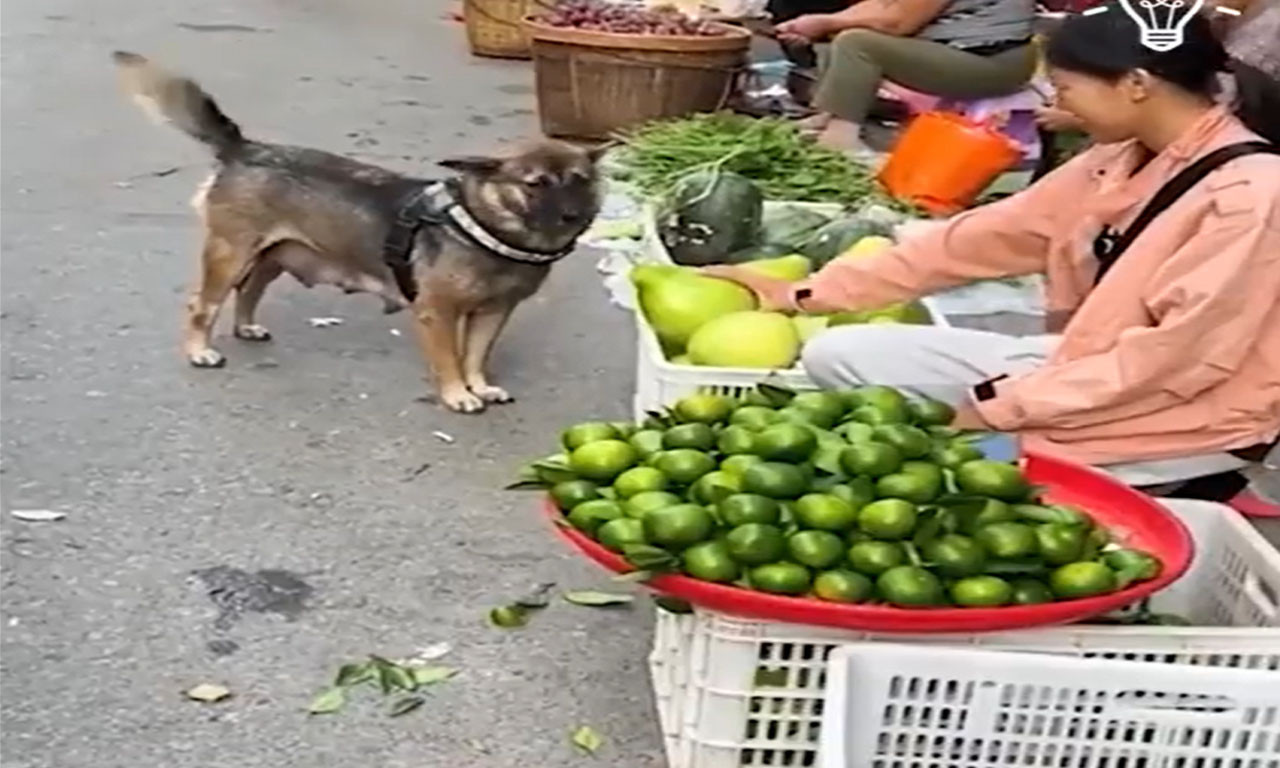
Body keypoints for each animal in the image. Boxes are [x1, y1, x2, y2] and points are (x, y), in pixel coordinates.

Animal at [112, 50, 601, 412]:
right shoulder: (437, 314)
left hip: (274, 256)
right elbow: (449, 359)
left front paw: (477, 385)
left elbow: (475, 354)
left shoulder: (493, 314)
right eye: (535, 185)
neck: (482, 228)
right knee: (203, 305)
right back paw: (199, 350)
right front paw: (457, 394)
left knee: (249, 291)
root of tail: (244, 148)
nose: (574, 215)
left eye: (580, 180)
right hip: (230, 255)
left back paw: (247, 328)